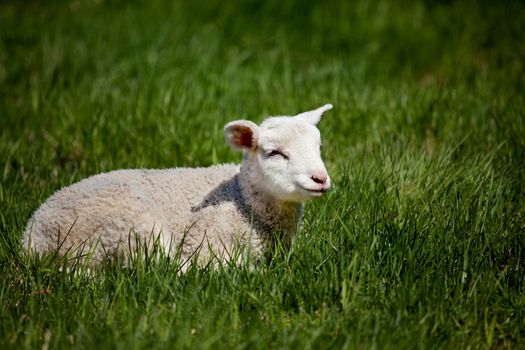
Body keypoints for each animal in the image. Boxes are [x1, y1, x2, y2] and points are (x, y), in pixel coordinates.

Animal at [23, 102, 332, 266]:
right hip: (131, 226)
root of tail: (33, 240)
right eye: (274, 153)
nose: (320, 179)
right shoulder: (209, 243)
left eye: (319, 147)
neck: (242, 201)